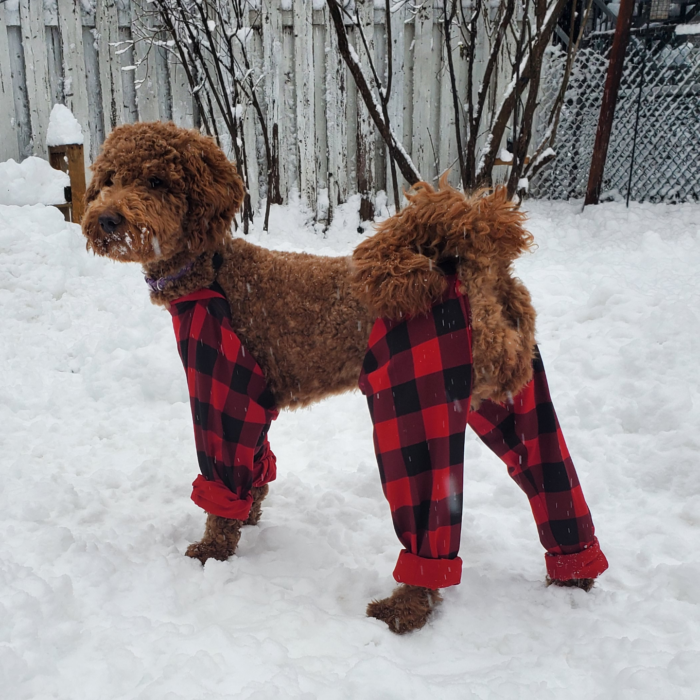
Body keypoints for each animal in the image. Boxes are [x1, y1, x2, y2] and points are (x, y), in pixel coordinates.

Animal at [82, 119, 548, 636]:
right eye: (108, 179)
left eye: (156, 181)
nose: (106, 219)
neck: (212, 271)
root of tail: (478, 268)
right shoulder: (254, 395)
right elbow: (256, 469)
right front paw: (249, 517)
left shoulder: (221, 386)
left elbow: (223, 480)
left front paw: (212, 550)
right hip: (512, 399)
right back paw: (573, 580)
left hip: (414, 402)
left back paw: (403, 610)